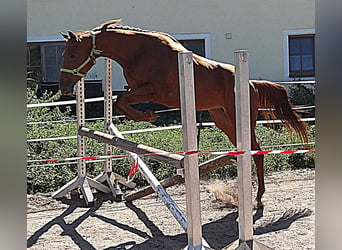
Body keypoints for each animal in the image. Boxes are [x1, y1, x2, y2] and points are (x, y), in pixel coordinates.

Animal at [58, 19, 308, 207]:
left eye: (72, 55)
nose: (64, 87)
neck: (138, 52)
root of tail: (252, 84)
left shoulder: (155, 91)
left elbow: (122, 99)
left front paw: (148, 116)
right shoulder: (138, 90)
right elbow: (119, 101)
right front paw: (145, 115)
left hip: (239, 118)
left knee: (257, 151)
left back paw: (258, 197)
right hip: (223, 120)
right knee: (246, 149)